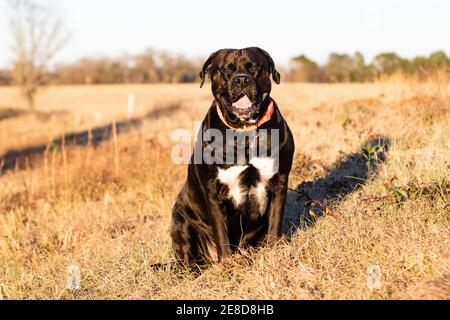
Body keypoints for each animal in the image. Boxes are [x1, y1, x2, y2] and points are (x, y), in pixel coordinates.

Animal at [171, 47, 294, 266]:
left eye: (254, 67)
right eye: (226, 69)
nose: (241, 80)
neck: (244, 131)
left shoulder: (279, 182)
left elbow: (275, 225)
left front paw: (274, 253)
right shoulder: (214, 192)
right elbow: (222, 235)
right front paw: (228, 264)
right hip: (180, 220)